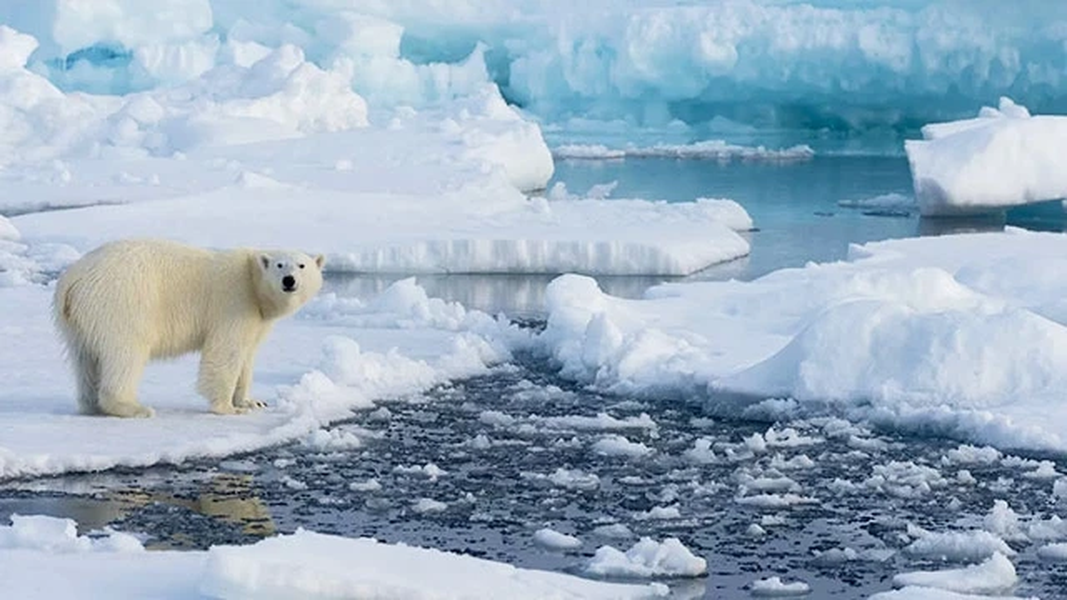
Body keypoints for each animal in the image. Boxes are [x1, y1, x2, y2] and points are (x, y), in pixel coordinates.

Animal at [52, 238, 324, 416]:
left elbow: (246, 356)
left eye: (302, 265)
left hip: (78, 320)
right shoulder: (233, 302)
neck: (252, 281)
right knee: (126, 353)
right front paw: (228, 408)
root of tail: (72, 280)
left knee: (85, 358)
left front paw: (251, 402)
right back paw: (134, 407)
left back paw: (91, 405)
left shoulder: (257, 318)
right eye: (280, 265)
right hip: (122, 302)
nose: (289, 281)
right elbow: (225, 352)